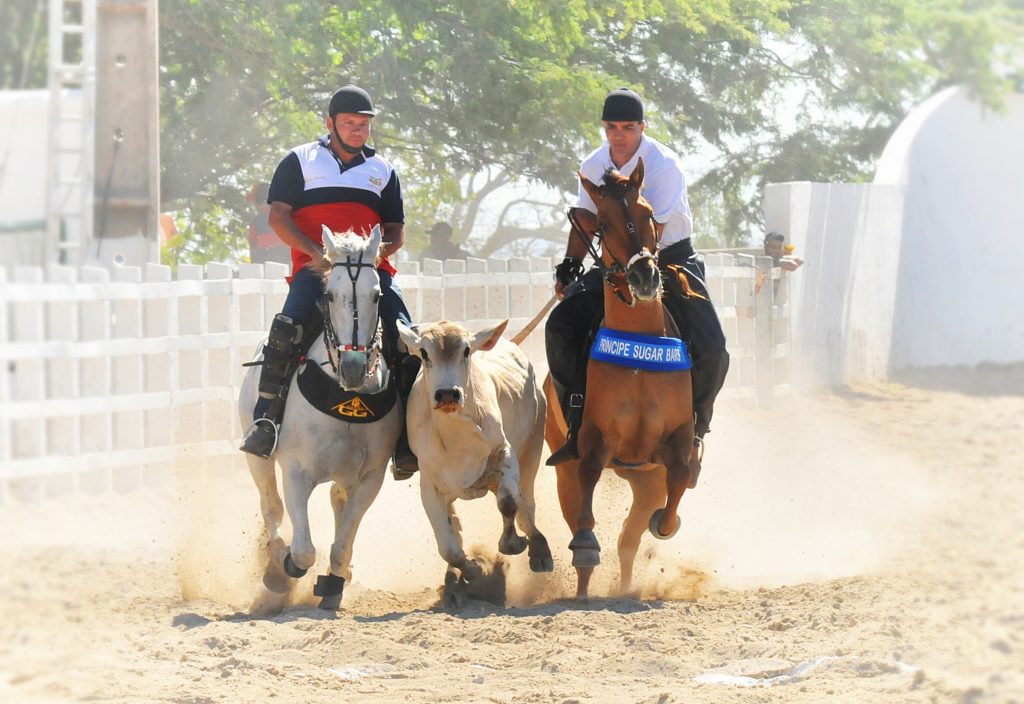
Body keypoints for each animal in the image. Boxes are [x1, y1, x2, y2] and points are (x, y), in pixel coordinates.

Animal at [238, 225, 399, 609]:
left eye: (376, 295)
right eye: (329, 294)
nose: (354, 367)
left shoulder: (370, 478)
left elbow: (342, 544)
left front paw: (334, 583)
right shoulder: (296, 472)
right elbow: (302, 551)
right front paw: (282, 570)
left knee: (337, 502)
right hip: (258, 460)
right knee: (271, 508)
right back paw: (274, 561)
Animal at [397, 319, 557, 597]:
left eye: (466, 350)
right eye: (424, 353)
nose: (447, 394)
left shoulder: (504, 453)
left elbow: (509, 502)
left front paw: (512, 543)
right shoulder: (430, 484)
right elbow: (449, 547)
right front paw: (474, 570)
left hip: (534, 444)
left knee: (526, 502)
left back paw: (539, 550)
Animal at [544, 160, 696, 597]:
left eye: (648, 213)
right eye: (603, 224)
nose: (645, 278)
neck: (640, 353)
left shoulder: (677, 439)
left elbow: (679, 479)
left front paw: (665, 525)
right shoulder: (593, 439)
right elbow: (589, 481)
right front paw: (585, 546)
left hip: (645, 478)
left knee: (628, 539)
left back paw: (626, 586)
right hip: (563, 466)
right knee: (580, 517)